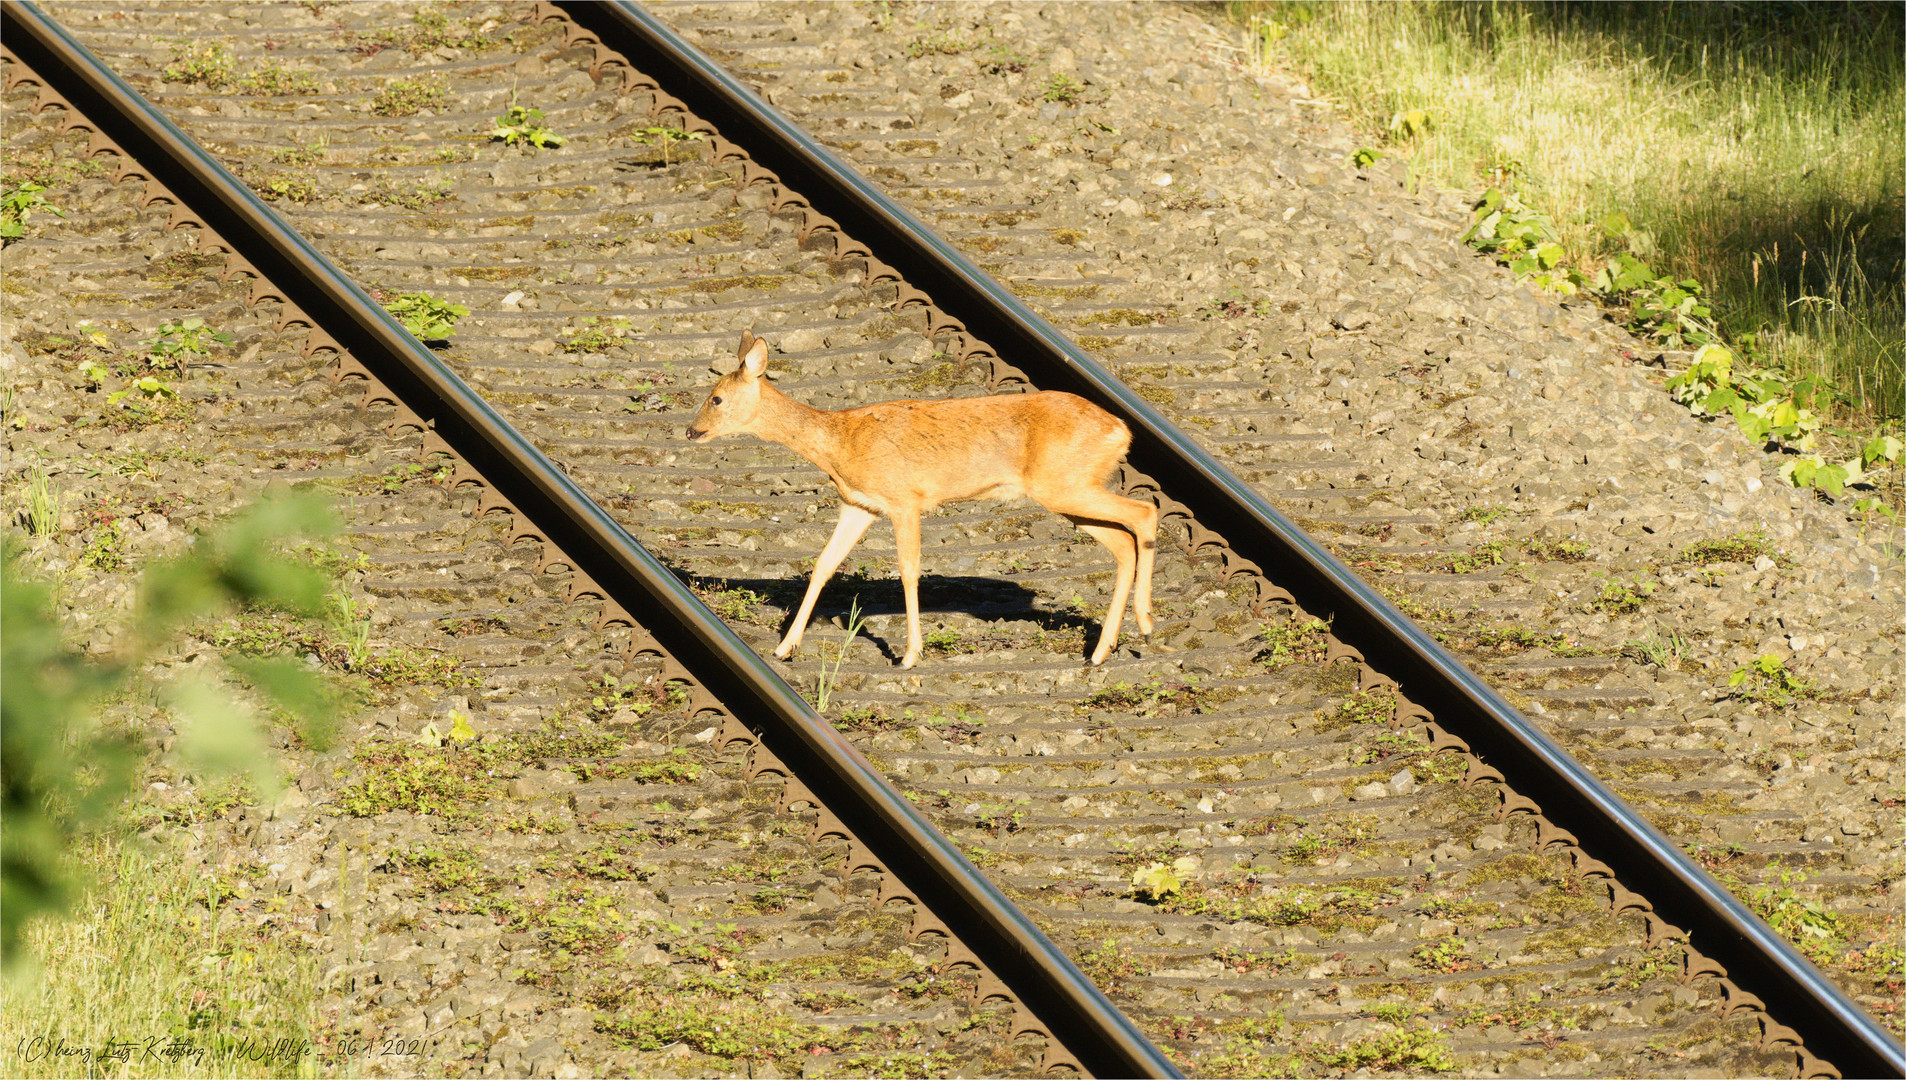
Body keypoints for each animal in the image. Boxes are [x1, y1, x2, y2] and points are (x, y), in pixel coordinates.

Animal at [689, 331, 1158, 666]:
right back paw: (1102, 649)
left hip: (1063, 485)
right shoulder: (859, 504)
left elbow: (909, 570)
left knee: (1145, 512)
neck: (840, 444)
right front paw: (785, 647)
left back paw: (1146, 622)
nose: (691, 431)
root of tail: (1122, 432)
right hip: (1069, 492)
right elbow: (824, 564)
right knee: (1124, 542)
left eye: (716, 397)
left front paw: (911, 656)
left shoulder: (905, 498)